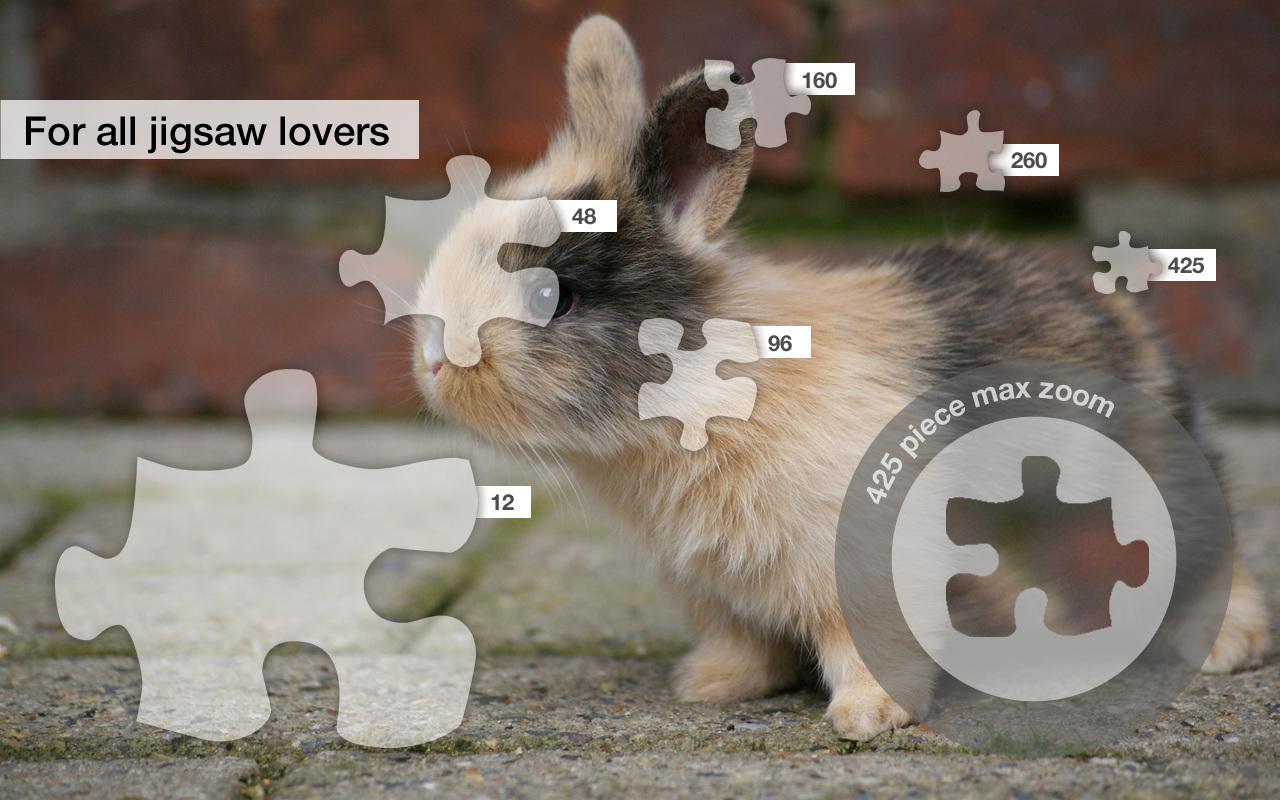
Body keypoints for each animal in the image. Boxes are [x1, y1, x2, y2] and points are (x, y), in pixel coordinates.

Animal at [412, 15, 1270, 740]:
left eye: (554, 297)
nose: (433, 360)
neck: (707, 390)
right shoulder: (714, 589)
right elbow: (742, 643)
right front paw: (708, 687)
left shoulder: (868, 562)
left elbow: (870, 647)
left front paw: (866, 719)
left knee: (1209, 562)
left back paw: (1225, 649)